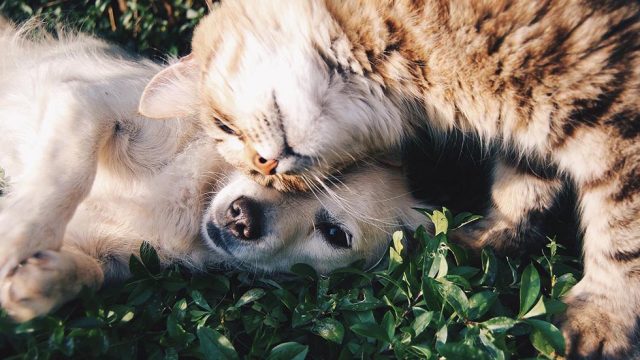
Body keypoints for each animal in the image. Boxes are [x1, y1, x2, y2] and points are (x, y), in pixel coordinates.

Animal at [139, 1, 640, 358]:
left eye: (224, 127)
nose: (265, 168)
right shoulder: (530, 131)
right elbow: (522, 184)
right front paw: (488, 238)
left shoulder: (616, 119)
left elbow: (622, 235)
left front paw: (602, 318)